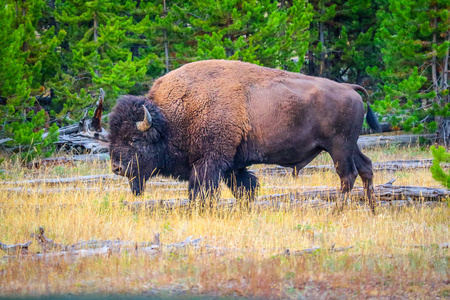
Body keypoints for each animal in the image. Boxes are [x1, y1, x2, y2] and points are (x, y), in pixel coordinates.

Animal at [109, 59, 380, 212]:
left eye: (134, 140)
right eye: (111, 138)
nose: (116, 168)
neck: (173, 115)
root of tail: (348, 87)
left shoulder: (209, 163)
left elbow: (202, 191)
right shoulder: (233, 165)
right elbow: (244, 189)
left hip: (338, 147)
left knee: (348, 176)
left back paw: (337, 210)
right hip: (351, 145)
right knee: (366, 168)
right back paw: (373, 208)